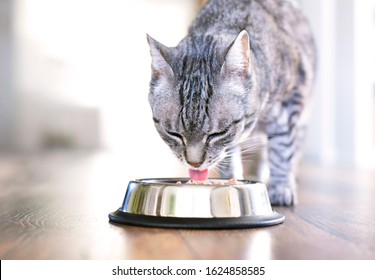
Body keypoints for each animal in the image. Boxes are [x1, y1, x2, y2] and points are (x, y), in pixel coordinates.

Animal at [146, 0, 314, 206]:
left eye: (218, 133)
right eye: (173, 133)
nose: (194, 164)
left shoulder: (288, 102)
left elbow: (282, 149)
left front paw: (282, 187)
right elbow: (229, 157)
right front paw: (231, 181)